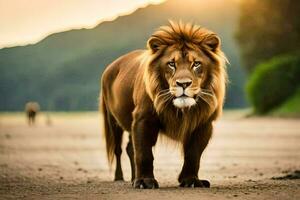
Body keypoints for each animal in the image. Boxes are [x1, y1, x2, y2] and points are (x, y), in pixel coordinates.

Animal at [99, 21, 229, 188]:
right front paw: (144, 181)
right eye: (172, 64)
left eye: (196, 64)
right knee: (118, 150)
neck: (180, 109)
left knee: (129, 148)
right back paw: (120, 177)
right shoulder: (143, 119)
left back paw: (133, 177)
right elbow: (144, 153)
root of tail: (110, 66)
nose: (183, 84)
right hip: (113, 120)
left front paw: (191, 180)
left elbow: (193, 155)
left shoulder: (203, 123)